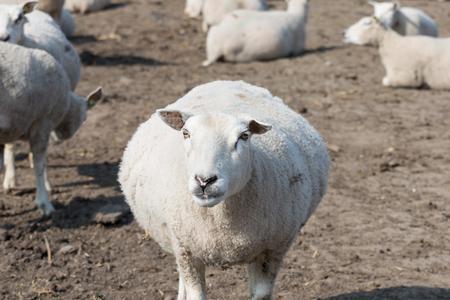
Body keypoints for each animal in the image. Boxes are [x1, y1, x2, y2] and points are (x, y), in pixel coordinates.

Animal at [118, 79, 330, 300]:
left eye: (244, 136)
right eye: (186, 133)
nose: (204, 181)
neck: (223, 224)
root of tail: (226, 82)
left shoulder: (273, 250)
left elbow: (261, 294)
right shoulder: (186, 250)